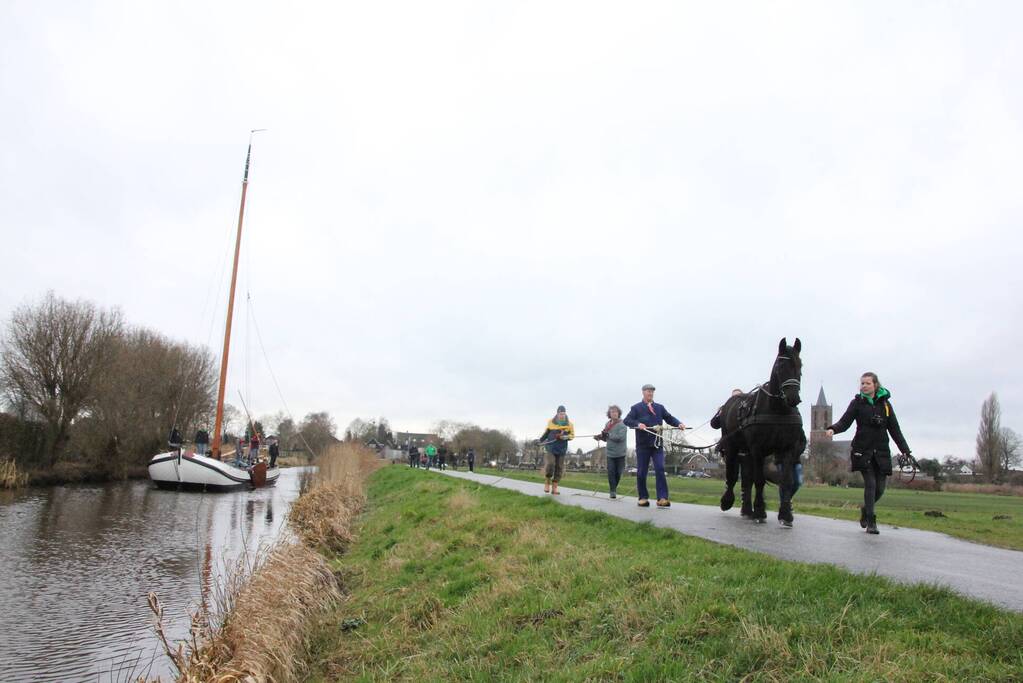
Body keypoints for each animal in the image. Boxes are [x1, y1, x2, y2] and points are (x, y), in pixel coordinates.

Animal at [712, 339, 806, 527]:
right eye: (780, 366)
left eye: (800, 365)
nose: (793, 398)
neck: (777, 411)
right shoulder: (758, 449)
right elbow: (759, 480)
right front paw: (760, 511)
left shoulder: (788, 449)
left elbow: (786, 480)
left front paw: (785, 515)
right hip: (733, 447)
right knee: (733, 475)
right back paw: (728, 501)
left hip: (746, 453)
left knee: (747, 479)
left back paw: (747, 509)